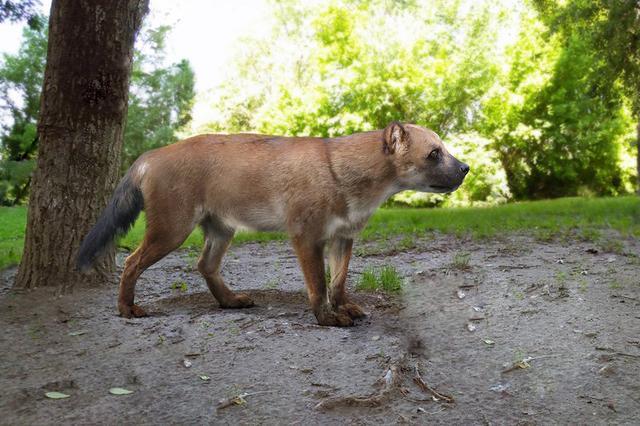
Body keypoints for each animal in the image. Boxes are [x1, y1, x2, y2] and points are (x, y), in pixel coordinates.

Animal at [77, 121, 470, 328]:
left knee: (204, 265)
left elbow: (339, 282)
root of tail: (151, 154)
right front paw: (327, 318)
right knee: (131, 263)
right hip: (171, 231)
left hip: (220, 231)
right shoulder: (307, 238)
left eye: (444, 150)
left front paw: (344, 308)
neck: (343, 175)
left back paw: (230, 301)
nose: (466, 168)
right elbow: (319, 286)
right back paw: (127, 309)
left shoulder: (342, 239)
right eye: (434, 153)